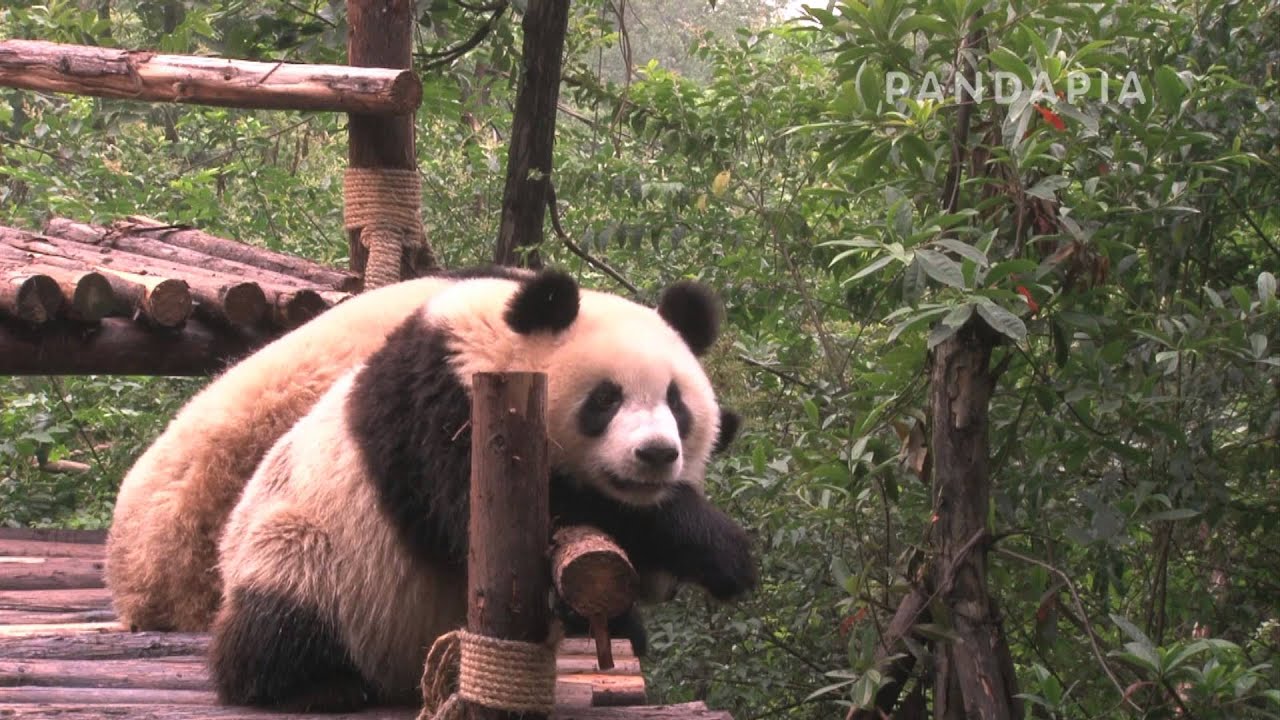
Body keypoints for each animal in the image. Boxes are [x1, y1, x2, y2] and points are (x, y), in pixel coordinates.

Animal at [208, 268, 757, 711]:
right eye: (605, 399)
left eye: (676, 403)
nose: (657, 453)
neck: (495, 346)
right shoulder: (447, 415)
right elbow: (526, 519)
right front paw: (719, 547)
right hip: (314, 550)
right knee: (284, 604)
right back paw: (317, 687)